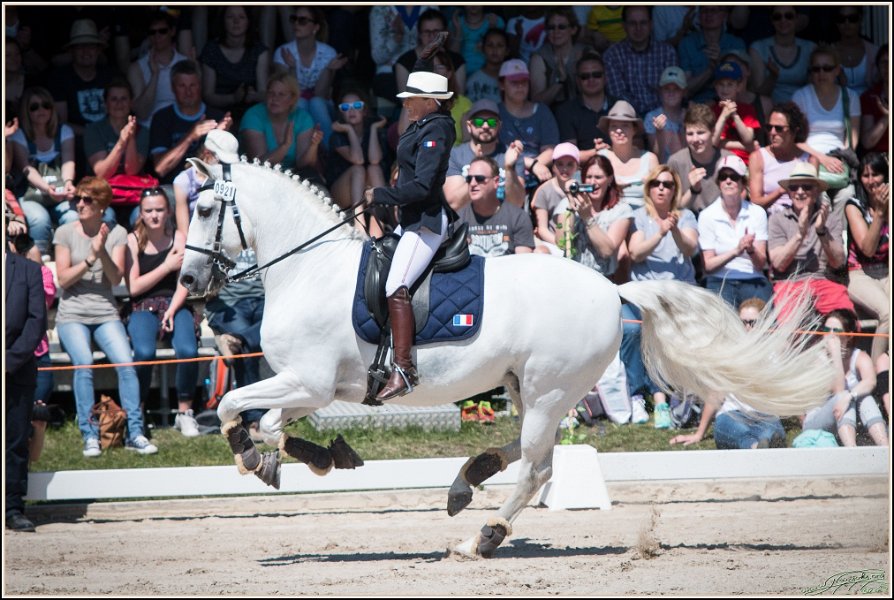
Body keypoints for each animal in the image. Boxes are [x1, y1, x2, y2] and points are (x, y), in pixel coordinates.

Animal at [179, 158, 833, 558]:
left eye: (207, 209)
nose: (187, 282)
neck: (306, 269)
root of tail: (612, 287)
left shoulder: (307, 382)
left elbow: (238, 408)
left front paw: (258, 459)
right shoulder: (308, 388)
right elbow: (266, 419)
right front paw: (312, 458)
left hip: (547, 389)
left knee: (539, 467)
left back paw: (482, 536)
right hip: (526, 385)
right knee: (528, 447)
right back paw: (467, 482)